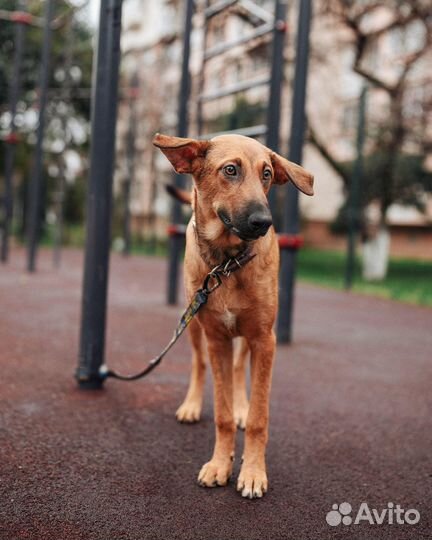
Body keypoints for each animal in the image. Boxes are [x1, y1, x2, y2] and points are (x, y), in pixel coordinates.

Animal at [153, 134, 314, 498]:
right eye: (231, 170)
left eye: (267, 173)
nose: (264, 223)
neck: (227, 264)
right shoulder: (216, 339)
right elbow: (221, 414)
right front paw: (219, 465)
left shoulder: (264, 339)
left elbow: (258, 417)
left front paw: (252, 471)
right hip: (194, 324)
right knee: (199, 364)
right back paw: (192, 405)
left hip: (248, 337)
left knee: (241, 371)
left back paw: (241, 406)